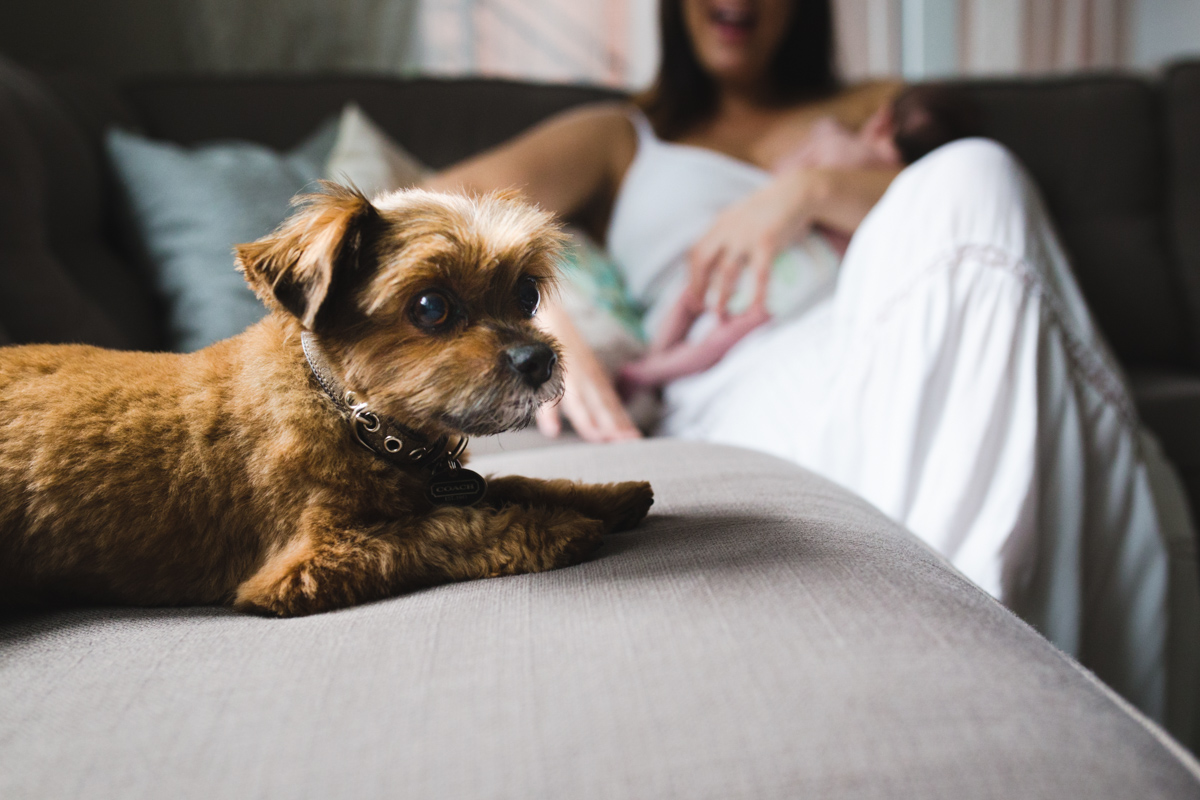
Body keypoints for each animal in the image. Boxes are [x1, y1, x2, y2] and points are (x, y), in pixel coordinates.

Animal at [0, 184, 652, 618]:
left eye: (526, 294)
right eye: (430, 307)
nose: (539, 360)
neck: (355, 415)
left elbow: (509, 482)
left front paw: (605, 495)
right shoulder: (308, 567)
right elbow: (445, 526)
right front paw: (555, 527)